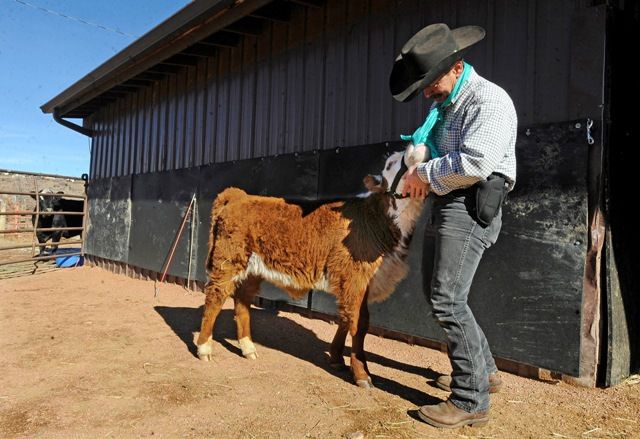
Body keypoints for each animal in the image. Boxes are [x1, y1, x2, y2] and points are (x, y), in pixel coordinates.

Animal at [196, 143, 429, 388]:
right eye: (390, 164)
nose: (415, 145)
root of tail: (239, 196)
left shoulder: (357, 281)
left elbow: (346, 317)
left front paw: (337, 359)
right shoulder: (355, 277)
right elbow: (359, 323)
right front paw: (362, 374)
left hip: (252, 269)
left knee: (242, 301)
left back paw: (248, 347)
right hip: (228, 260)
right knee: (215, 297)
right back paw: (204, 348)